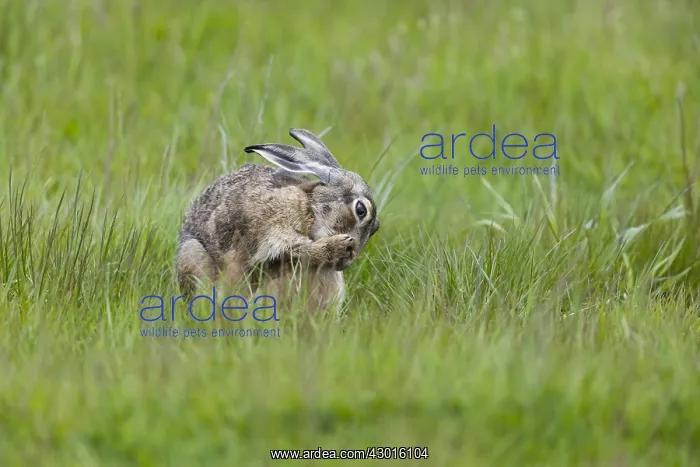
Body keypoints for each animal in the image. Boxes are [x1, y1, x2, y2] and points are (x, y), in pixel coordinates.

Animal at [176, 128, 380, 311]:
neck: (310, 207)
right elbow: (298, 250)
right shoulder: (273, 230)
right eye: (360, 210)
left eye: (376, 227)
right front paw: (339, 245)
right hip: (193, 254)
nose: (346, 262)